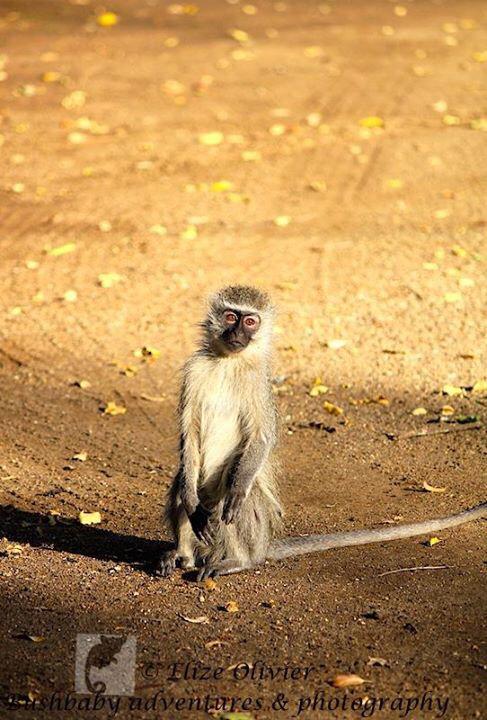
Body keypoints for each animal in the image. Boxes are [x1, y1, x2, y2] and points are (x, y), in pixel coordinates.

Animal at [156, 285, 486, 580]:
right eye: (230, 316)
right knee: (184, 482)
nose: (237, 334)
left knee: (233, 492)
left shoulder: (259, 385)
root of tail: (262, 547)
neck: (229, 362)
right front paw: (189, 502)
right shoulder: (194, 371)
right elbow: (188, 434)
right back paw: (182, 555)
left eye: (250, 321)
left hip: (247, 528)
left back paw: (236, 560)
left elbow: (261, 439)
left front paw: (237, 491)